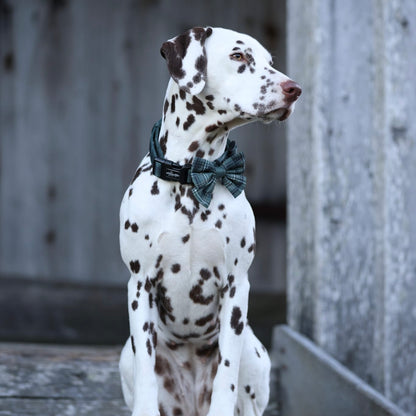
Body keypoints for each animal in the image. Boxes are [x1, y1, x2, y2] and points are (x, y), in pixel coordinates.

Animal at [118, 26, 300, 416]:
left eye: (270, 62)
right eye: (238, 56)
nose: (294, 89)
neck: (193, 177)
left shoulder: (236, 288)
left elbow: (226, 375)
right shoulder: (139, 286)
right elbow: (145, 373)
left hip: (254, 353)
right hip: (126, 355)